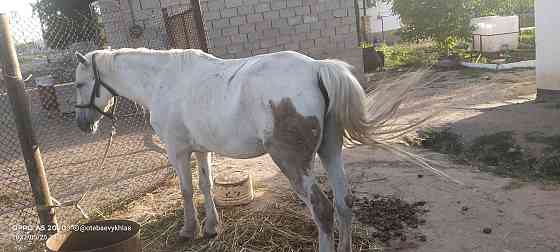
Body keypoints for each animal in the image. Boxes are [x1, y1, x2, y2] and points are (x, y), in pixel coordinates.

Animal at [74, 47, 422, 252]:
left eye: (78, 84)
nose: (82, 124)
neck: (163, 80)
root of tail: (317, 68)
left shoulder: (178, 150)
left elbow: (186, 190)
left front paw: (189, 230)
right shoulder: (201, 149)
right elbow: (205, 185)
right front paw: (211, 227)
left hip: (292, 163)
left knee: (323, 210)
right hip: (331, 152)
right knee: (343, 203)